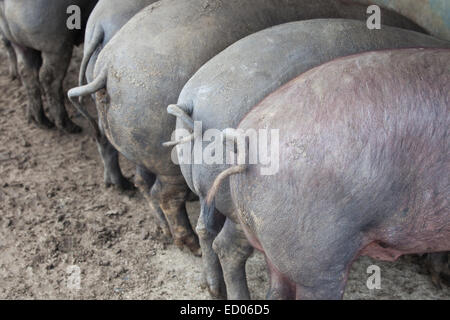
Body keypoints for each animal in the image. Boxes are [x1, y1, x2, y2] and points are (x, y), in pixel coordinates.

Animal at [0, 0, 98, 132]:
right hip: (57, 44)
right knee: (49, 78)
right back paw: (70, 127)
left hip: (20, 44)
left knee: (27, 74)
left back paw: (40, 121)